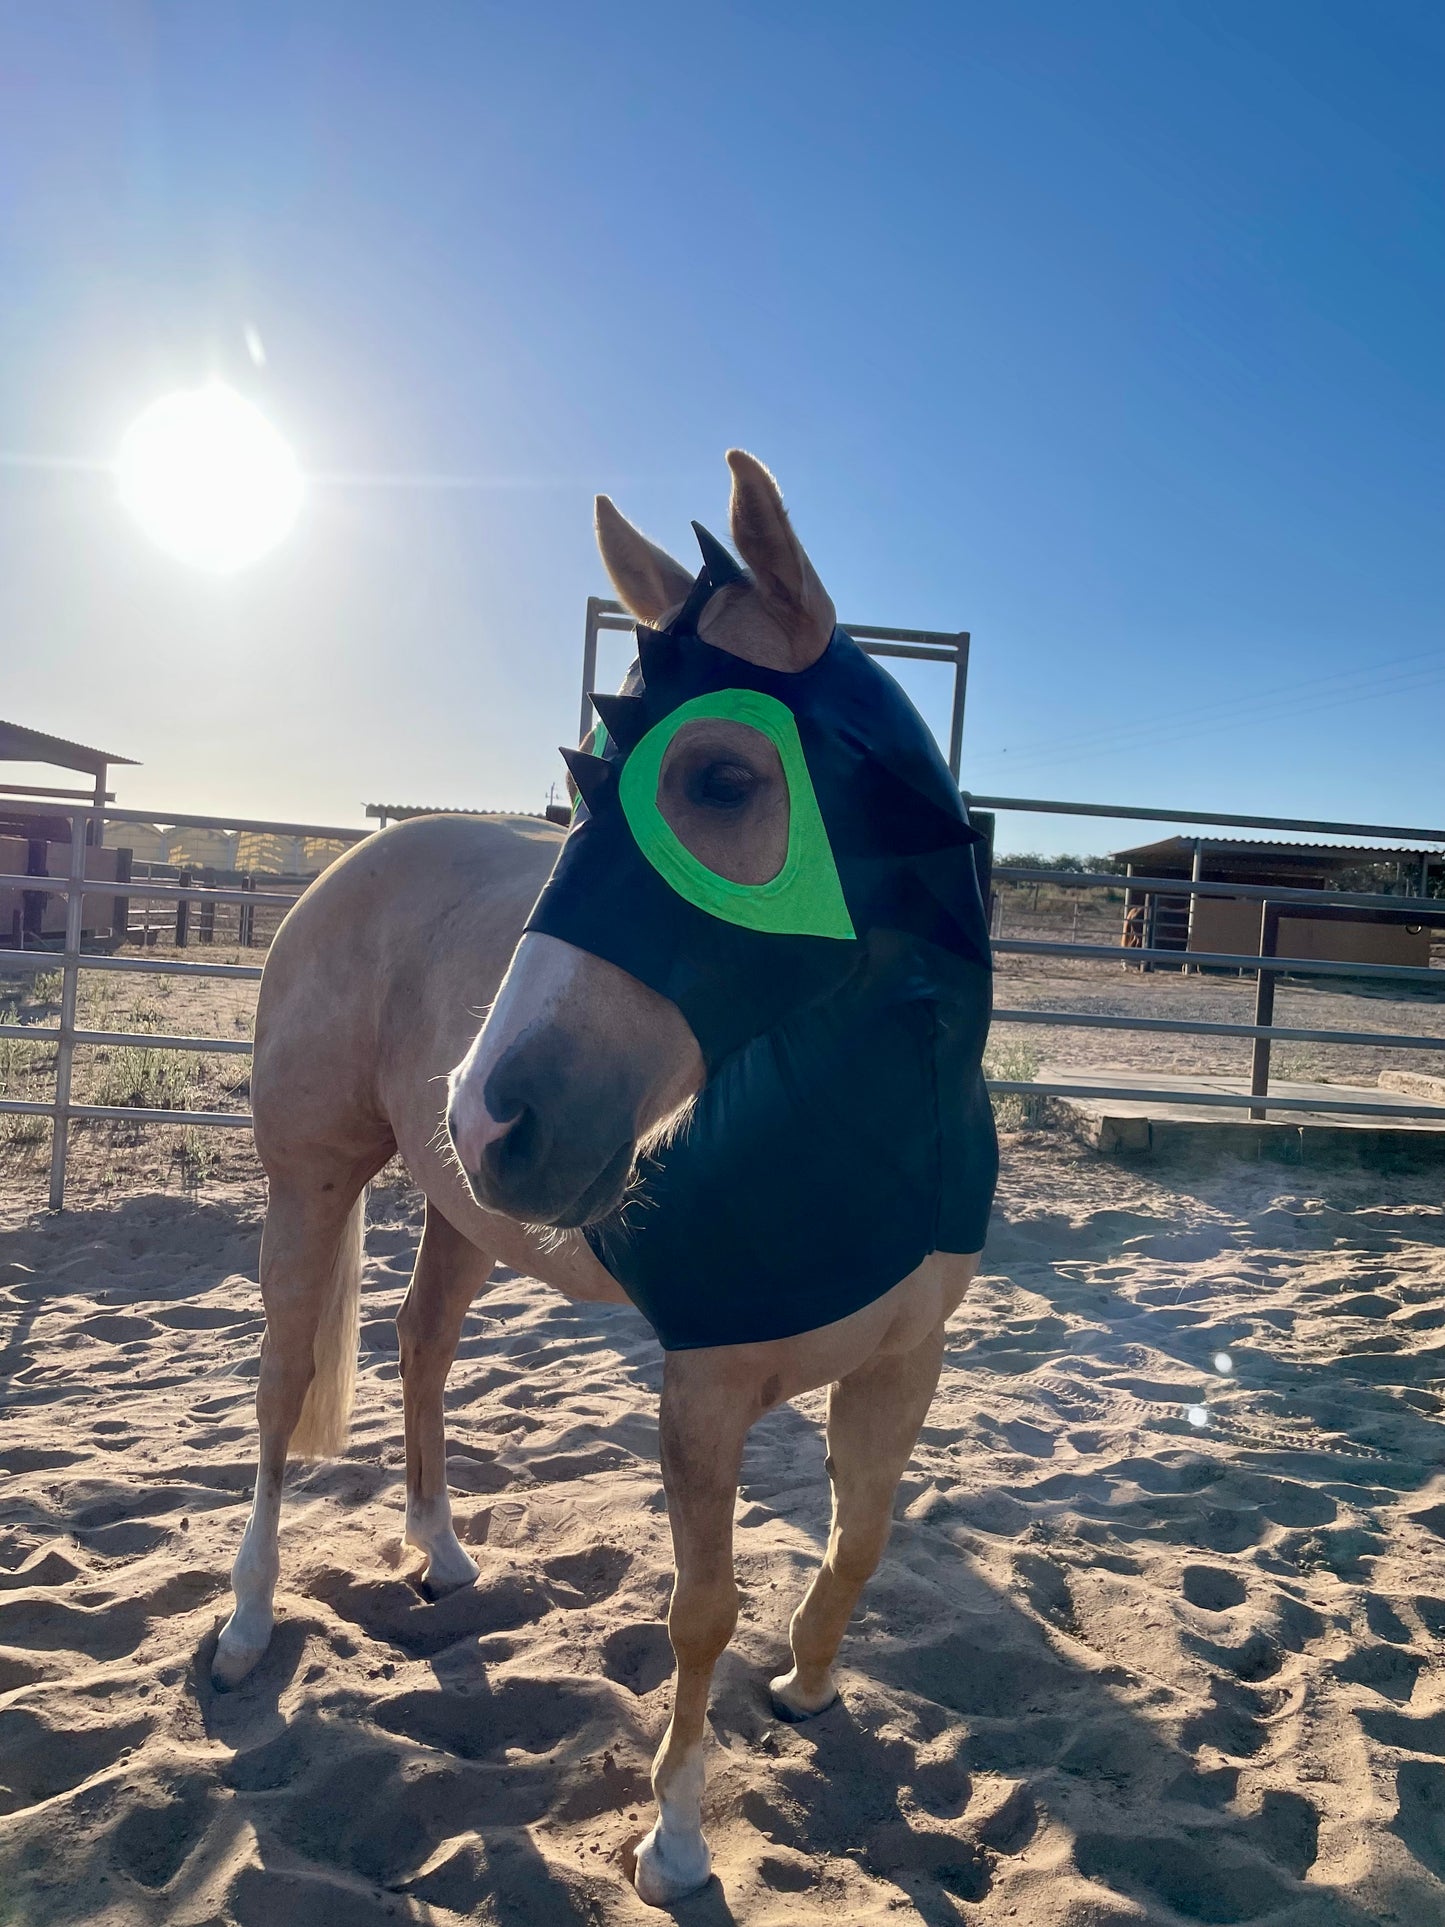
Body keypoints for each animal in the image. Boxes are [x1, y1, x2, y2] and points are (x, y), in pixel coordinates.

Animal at [214, 449, 993, 1905]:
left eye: (723, 778)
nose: (490, 1107)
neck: (860, 1132)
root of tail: (352, 862)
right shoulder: (703, 1393)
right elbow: (702, 1610)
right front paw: (674, 1840)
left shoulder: (902, 1361)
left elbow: (859, 1536)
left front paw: (807, 1687)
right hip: (313, 1186)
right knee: (283, 1388)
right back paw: (242, 1625)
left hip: (464, 1213)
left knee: (419, 1342)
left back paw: (441, 1553)